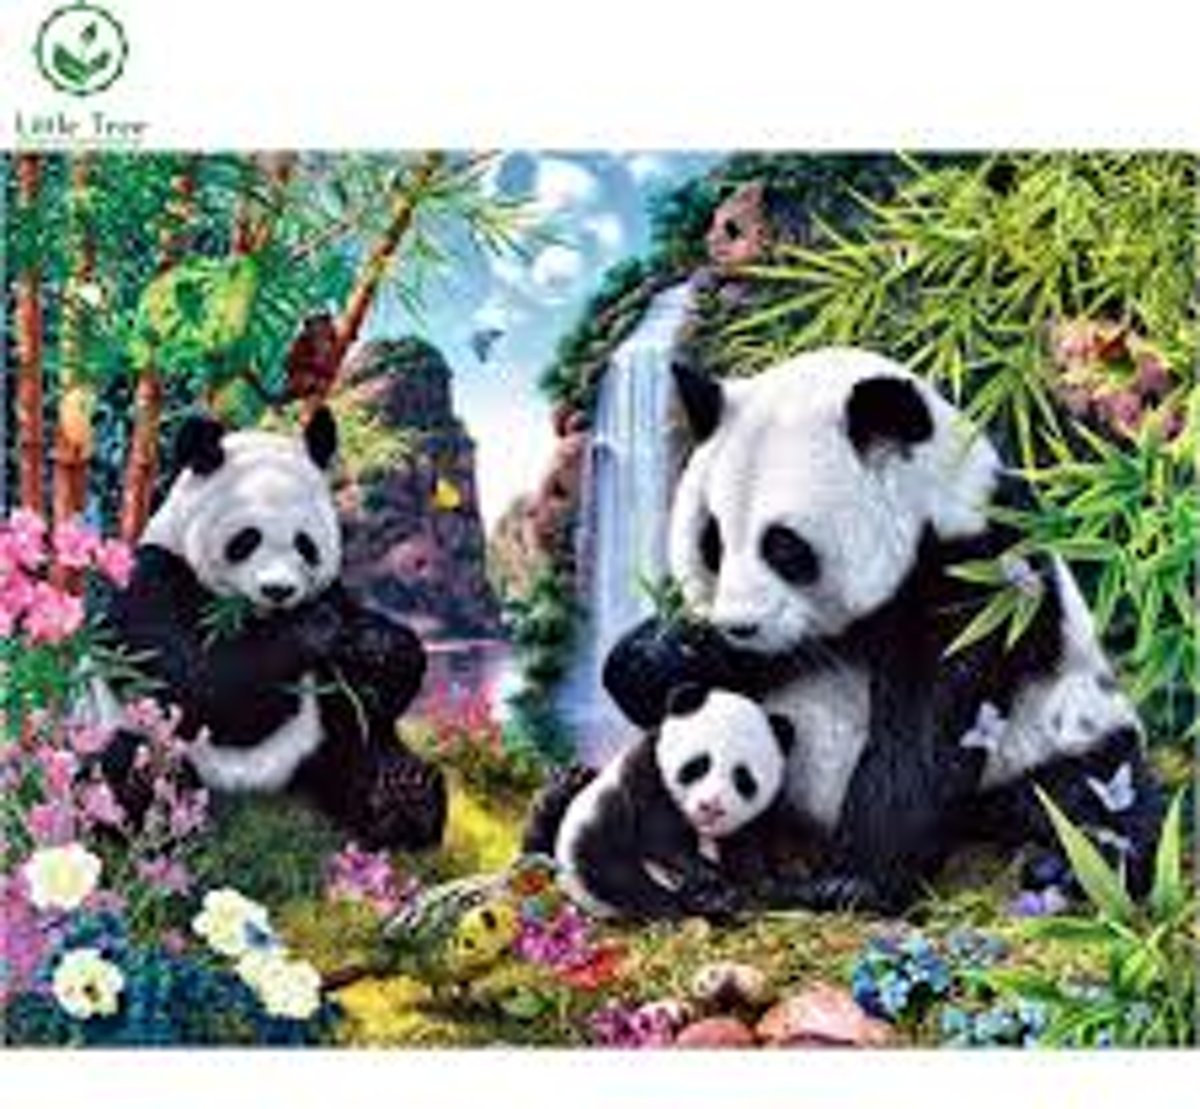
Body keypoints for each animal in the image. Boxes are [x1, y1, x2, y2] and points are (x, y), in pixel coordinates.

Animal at [94, 407, 447, 850]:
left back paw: (402, 799)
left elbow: (377, 694)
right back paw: (163, 821)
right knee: (134, 763)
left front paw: (376, 644)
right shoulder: (151, 577)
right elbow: (191, 683)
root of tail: (261, 793)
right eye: (247, 539)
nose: (278, 590)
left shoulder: (333, 588)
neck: (256, 617)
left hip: (320, 741)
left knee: (362, 746)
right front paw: (314, 630)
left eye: (304, 544)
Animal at [523, 686, 796, 921]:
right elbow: (660, 835)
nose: (711, 806)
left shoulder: (749, 824)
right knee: (620, 877)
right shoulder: (648, 773)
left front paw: (751, 887)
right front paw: (707, 874)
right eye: (699, 765)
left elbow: (745, 849)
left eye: (743, 778)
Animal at [602, 347, 1163, 912]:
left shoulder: (981, 578)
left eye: (783, 546)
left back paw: (1064, 867)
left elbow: (925, 725)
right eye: (712, 541)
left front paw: (850, 882)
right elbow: (660, 687)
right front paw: (662, 653)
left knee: (1095, 797)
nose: (740, 625)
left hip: (1065, 728)